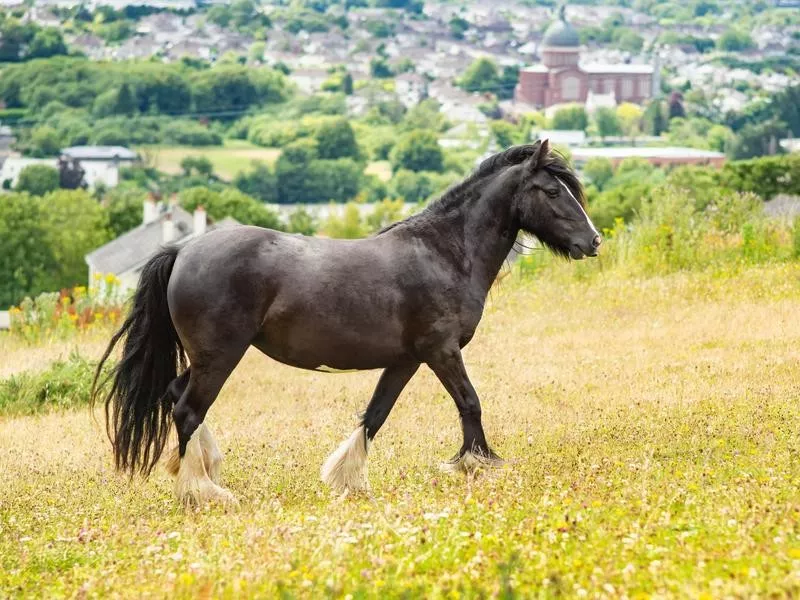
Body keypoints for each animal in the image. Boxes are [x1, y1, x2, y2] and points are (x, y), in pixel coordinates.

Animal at [92, 142, 600, 506]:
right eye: (553, 191)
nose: (593, 241)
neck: (443, 251)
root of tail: (183, 251)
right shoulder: (442, 351)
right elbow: (470, 402)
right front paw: (477, 464)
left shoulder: (407, 360)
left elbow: (375, 415)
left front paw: (348, 479)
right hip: (220, 357)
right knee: (187, 409)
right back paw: (204, 492)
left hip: (206, 359)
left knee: (176, 396)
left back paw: (202, 470)